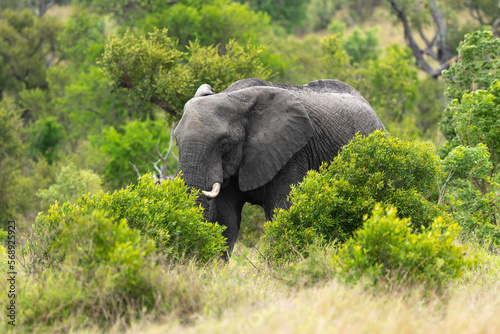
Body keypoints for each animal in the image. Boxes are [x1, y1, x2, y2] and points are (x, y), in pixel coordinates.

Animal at [174, 79, 384, 258]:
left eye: (223, 144)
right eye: (176, 140)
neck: (233, 97)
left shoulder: (292, 153)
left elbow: (282, 211)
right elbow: (226, 220)